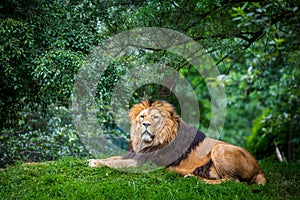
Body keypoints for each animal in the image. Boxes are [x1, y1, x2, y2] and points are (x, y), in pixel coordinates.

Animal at [88, 99, 266, 184]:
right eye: (142, 117)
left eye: (155, 117)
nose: (146, 124)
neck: (145, 143)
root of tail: (259, 169)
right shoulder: (133, 156)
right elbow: (112, 158)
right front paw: (94, 159)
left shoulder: (145, 164)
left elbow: (115, 163)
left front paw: (95, 163)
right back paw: (191, 177)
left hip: (219, 149)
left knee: (234, 182)